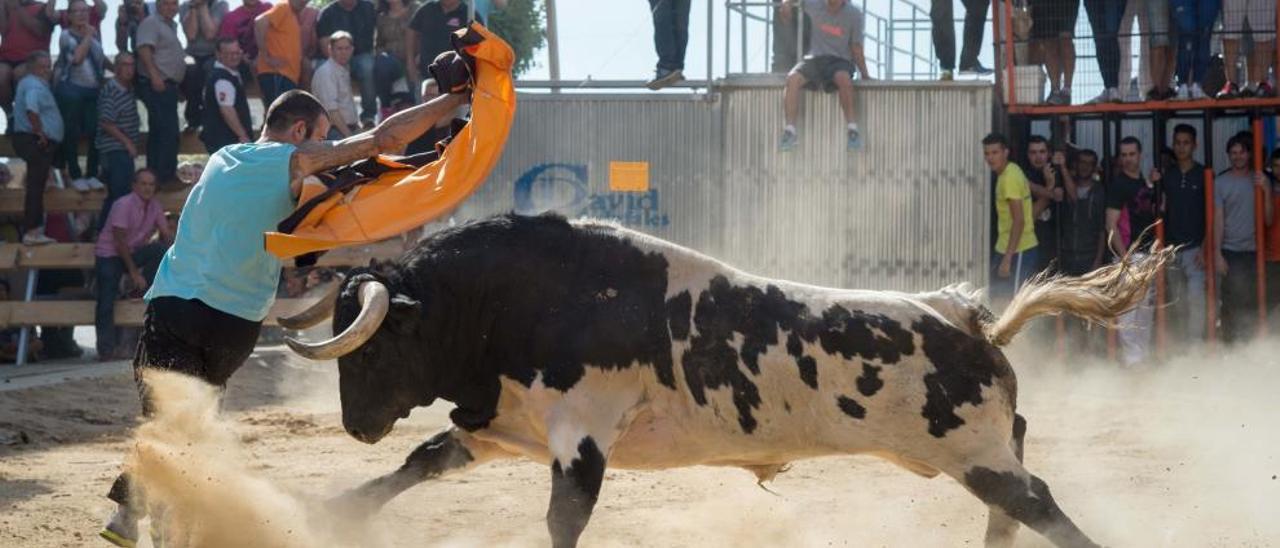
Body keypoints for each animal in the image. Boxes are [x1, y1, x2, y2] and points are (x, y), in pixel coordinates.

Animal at [282, 213, 1172, 548]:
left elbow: (562, 519)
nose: (356, 424)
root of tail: (965, 318)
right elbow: (424, 460)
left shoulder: (580, 439)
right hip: (979, 453)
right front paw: (331, 510)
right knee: (1015, 505)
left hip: (975, 449)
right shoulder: (503, 425)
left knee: (1039, 504)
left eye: (371, 350)